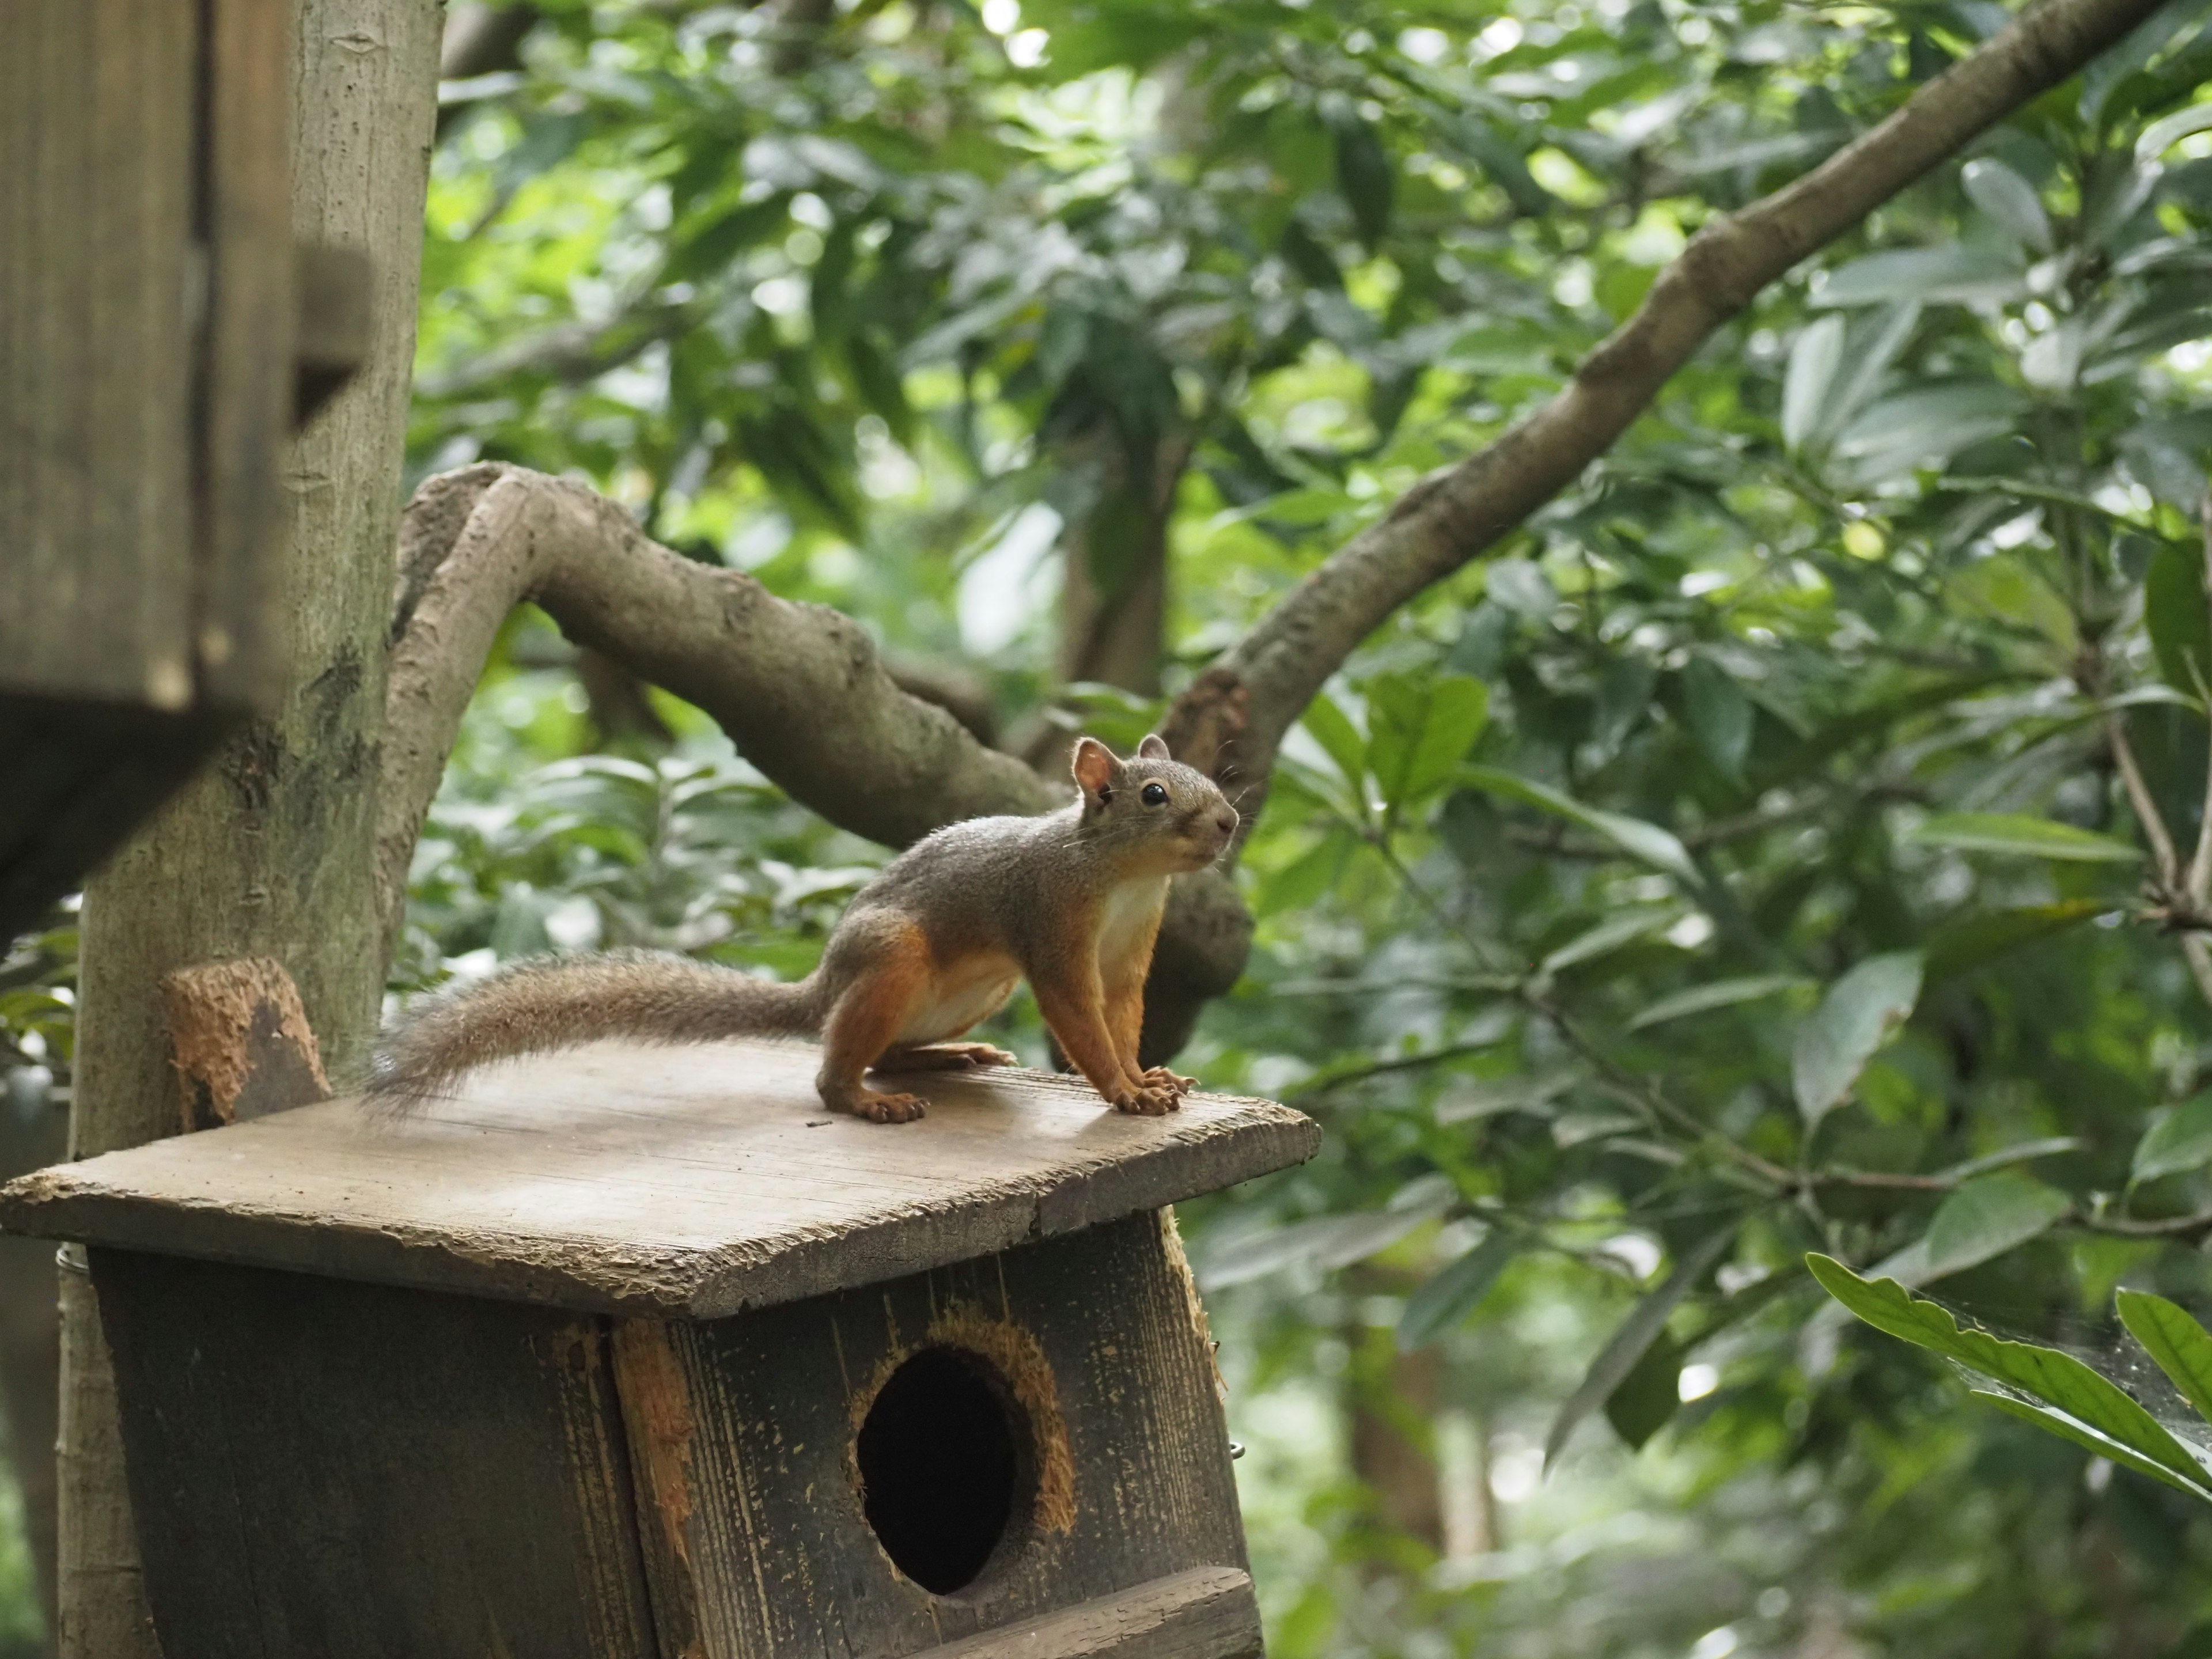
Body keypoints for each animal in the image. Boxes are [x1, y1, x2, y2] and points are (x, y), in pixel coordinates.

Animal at [369, 738, 1238, 1132]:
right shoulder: (1051, 926)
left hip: (977, 987)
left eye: (1210, 777)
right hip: (894, 958)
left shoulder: (1128, 952)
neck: (1124, 878)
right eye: (1155, 794)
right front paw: (1123, 1091)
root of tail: (825, 982)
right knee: (833, 1070)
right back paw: (868, 1101)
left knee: (886, 1049)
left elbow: (1120, 1016)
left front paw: (1150, 1075)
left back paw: (951, 1056)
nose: (1231, 822)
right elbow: (1080, 1021)